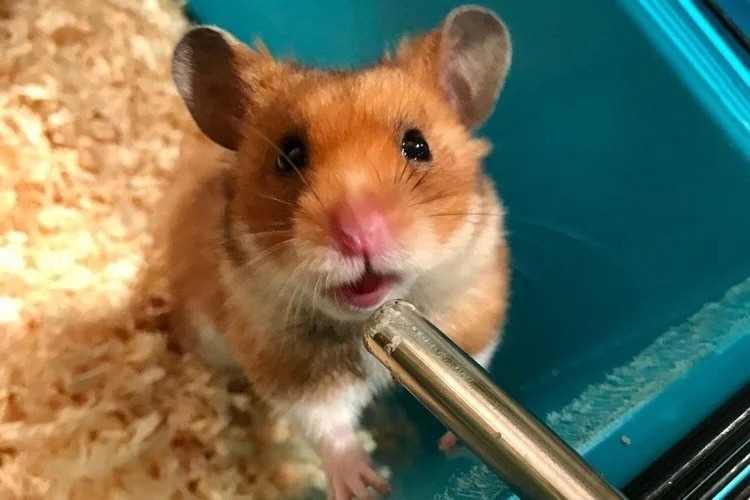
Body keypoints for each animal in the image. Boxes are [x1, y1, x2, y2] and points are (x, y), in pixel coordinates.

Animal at [164, 5, 512, 499]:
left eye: (417, 145)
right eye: (288, 155)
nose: (358, 232)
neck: (361, 322)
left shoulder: (476, 315)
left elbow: (472, 367)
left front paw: (454, 445)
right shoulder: (289, 370)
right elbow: (326, 424)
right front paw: (364, 486)